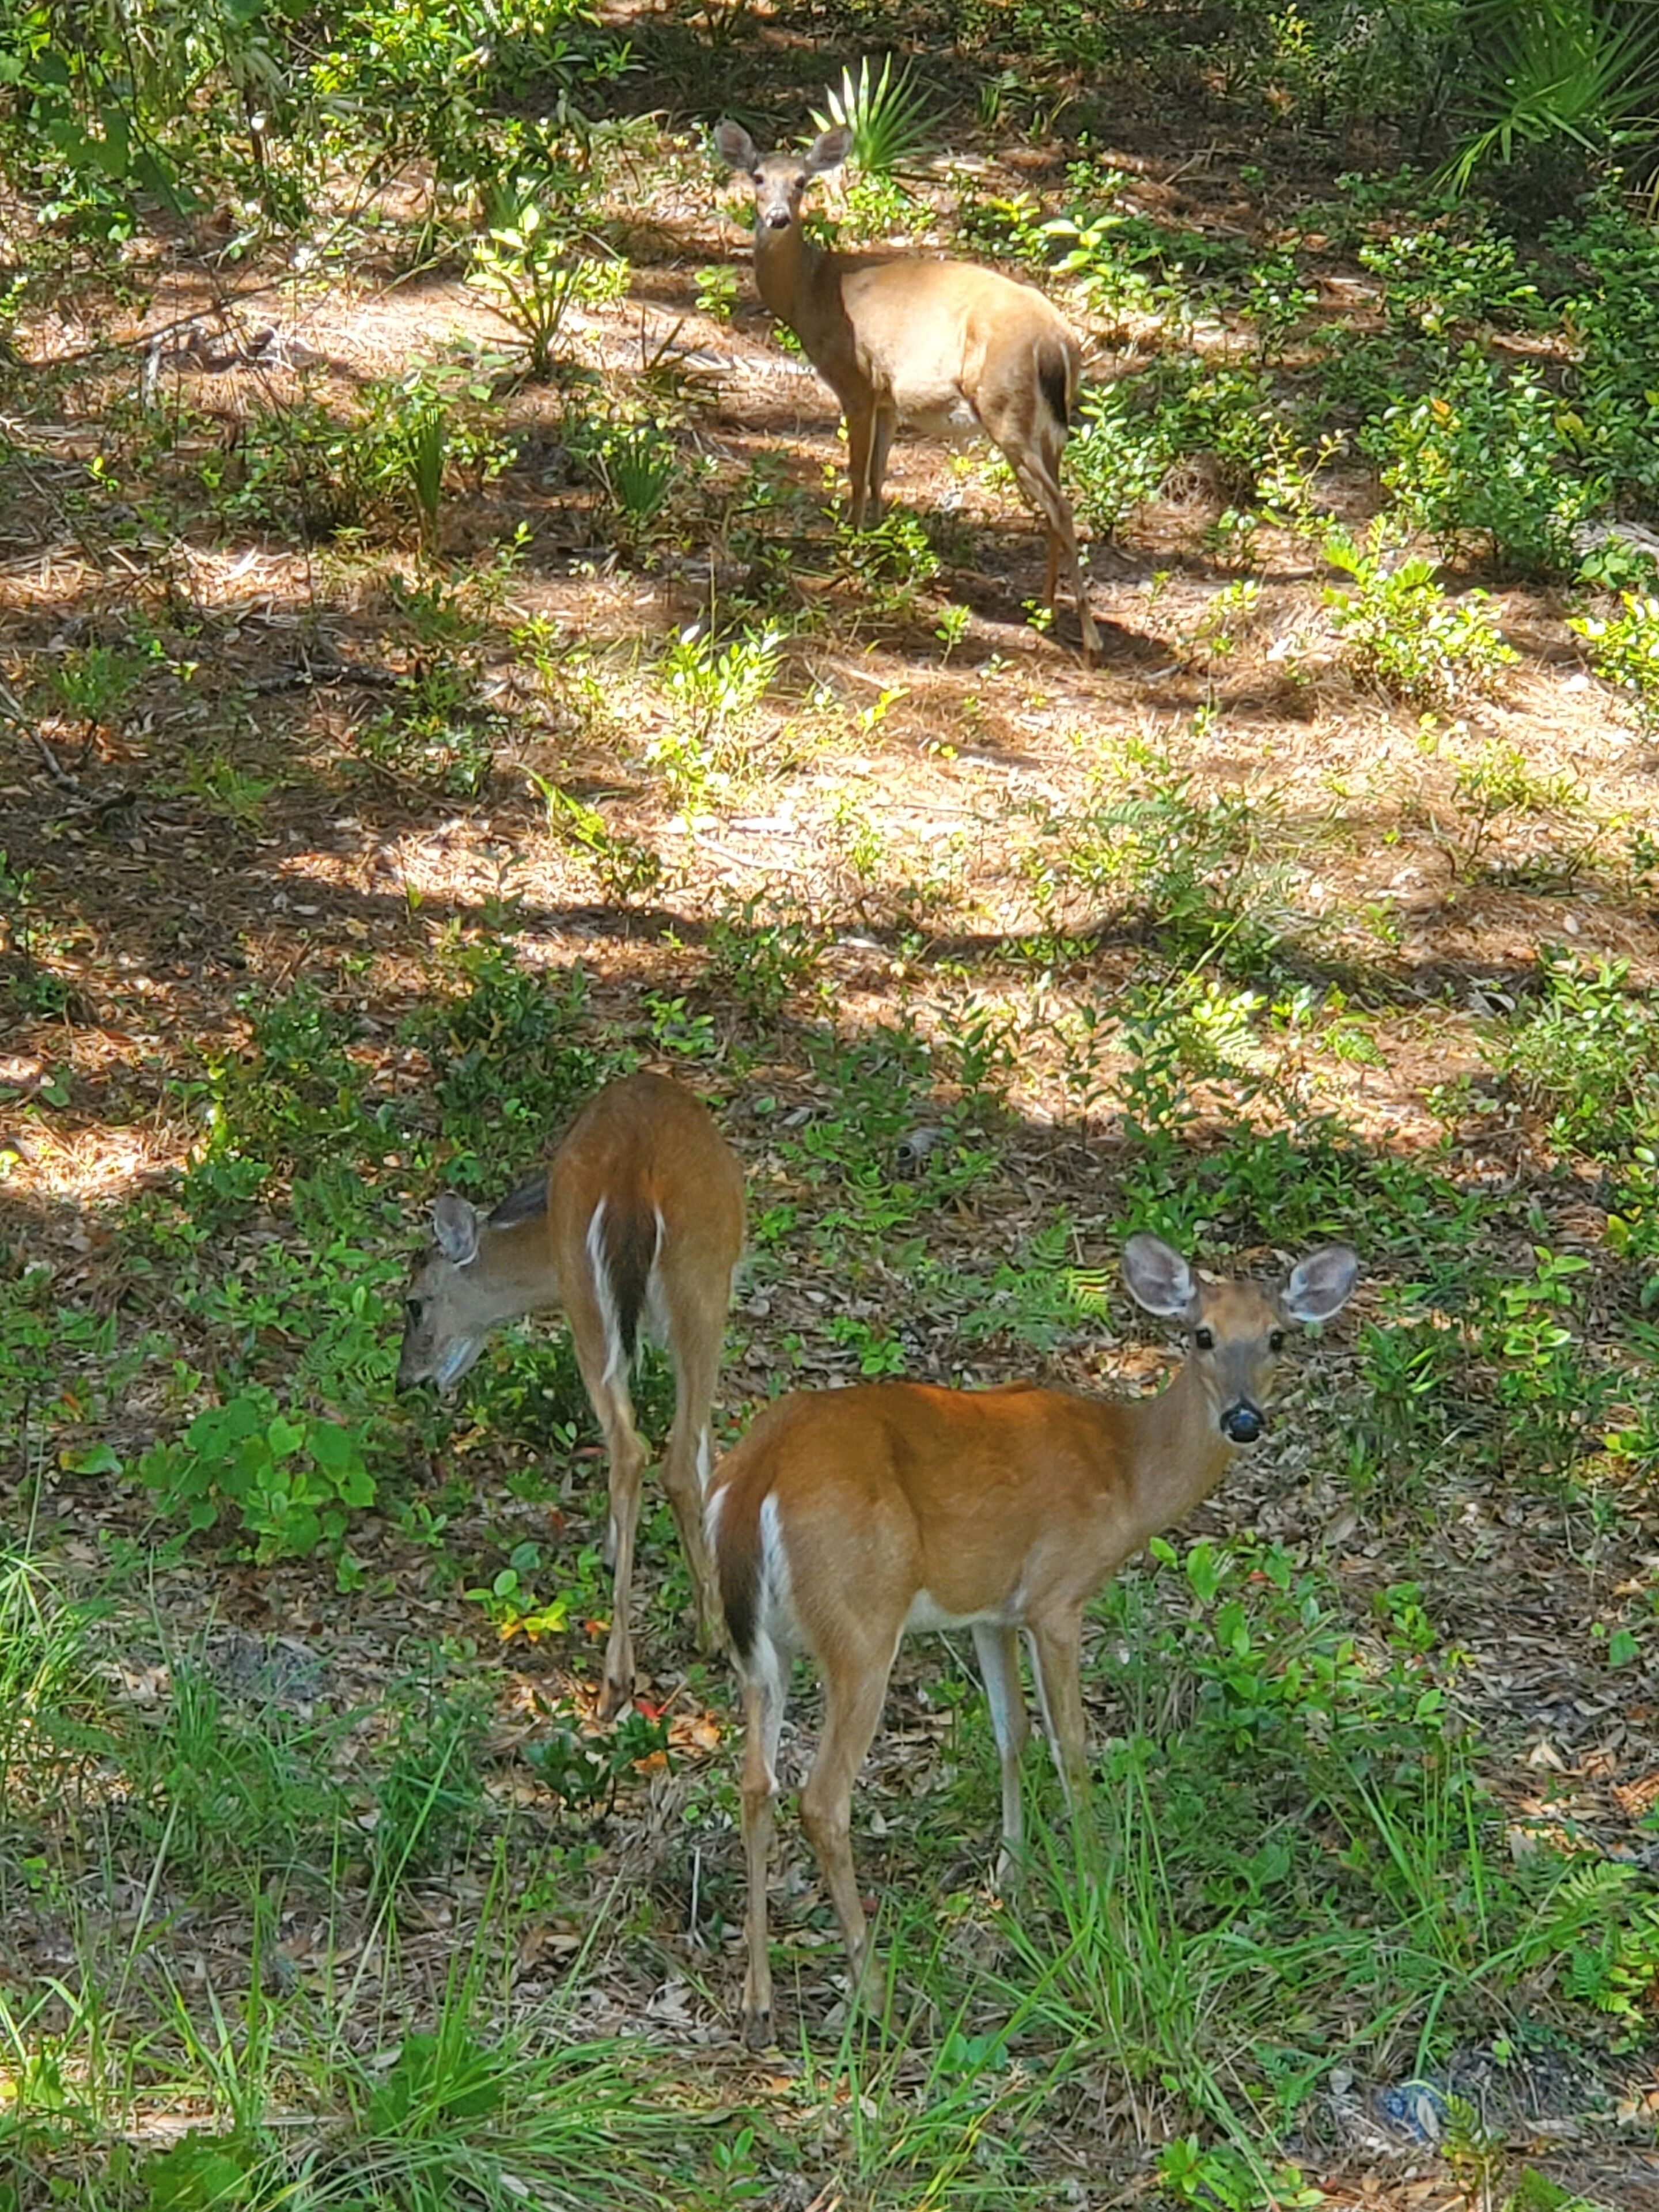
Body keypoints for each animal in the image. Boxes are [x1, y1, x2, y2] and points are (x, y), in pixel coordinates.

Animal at [398, 1072, 746, 1721]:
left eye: (413, 1304)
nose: (406, 1380)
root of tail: (634, 1177)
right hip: (701, 1284)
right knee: (662, 1453)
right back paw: (694, 1643)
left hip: (613, 1293)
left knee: (636, 1448)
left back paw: (631, 1668)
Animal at [705, 1231, 1358, 2044]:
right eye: (1202, 1335)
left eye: (1276, 1337)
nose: (1243, 1420)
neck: (1127, 1471)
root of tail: (753, 1478)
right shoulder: (1056, 1595)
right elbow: (1070, 1745)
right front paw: (1098, 1891)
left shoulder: (991, 1611)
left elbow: (1009, 1731)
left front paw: (1011, 1876)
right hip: (860, 1624)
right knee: (821, 1799)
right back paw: (875, 1992)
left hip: (762, 1650)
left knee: (754, 1785)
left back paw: (758, 1999)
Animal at [713, 120, 1102, 665]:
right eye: (757, 177)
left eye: (802, 182)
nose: (778, 219)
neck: (812, 295)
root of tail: (1059, 341)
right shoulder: (889, 396)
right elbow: (880, 473)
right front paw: (878, 544)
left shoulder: (855, 380)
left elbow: (857, 473)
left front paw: (849, 548)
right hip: (1048, 428)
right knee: (1053, 505)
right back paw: (1043, 607)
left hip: (1005, 405)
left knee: (1061, 507)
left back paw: (1088, 636)